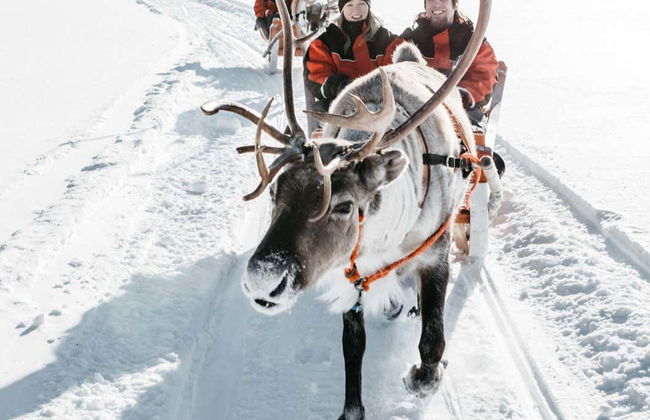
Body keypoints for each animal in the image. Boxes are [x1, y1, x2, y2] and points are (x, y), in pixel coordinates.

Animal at [201, 0, 492, 418]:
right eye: (275, 190)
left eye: (343, 206)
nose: (263, 280)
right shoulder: (350, 271)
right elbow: (352, 350)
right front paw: (352, 407)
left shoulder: (435, 253)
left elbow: (432, 339)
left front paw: (424, 374)